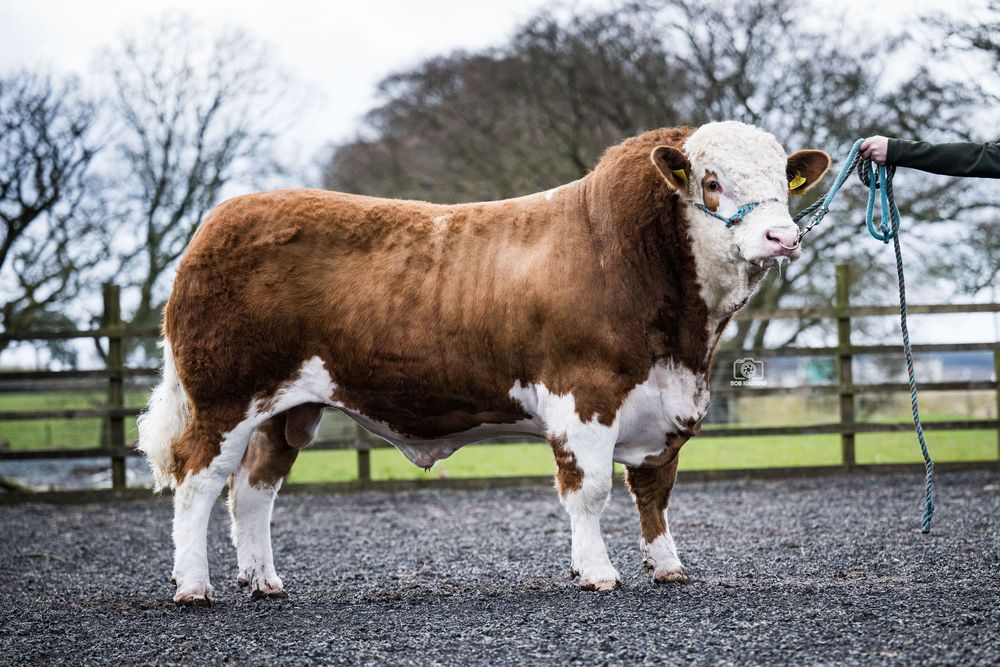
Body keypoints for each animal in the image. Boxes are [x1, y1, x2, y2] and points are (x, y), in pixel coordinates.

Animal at [137, 121, 830, 605]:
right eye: (712, 181)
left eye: (782, 181)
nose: (782, 237)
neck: (684, 342)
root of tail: (221, 220)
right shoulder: (583, 397)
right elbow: (590, 490)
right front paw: (597, 573)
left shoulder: (667, 406)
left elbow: (654, 491)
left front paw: (668, 568)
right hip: (224, 397)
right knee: (198, 482)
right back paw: (194, 587)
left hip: (288, 409)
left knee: (254, 489)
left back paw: (264, 581)